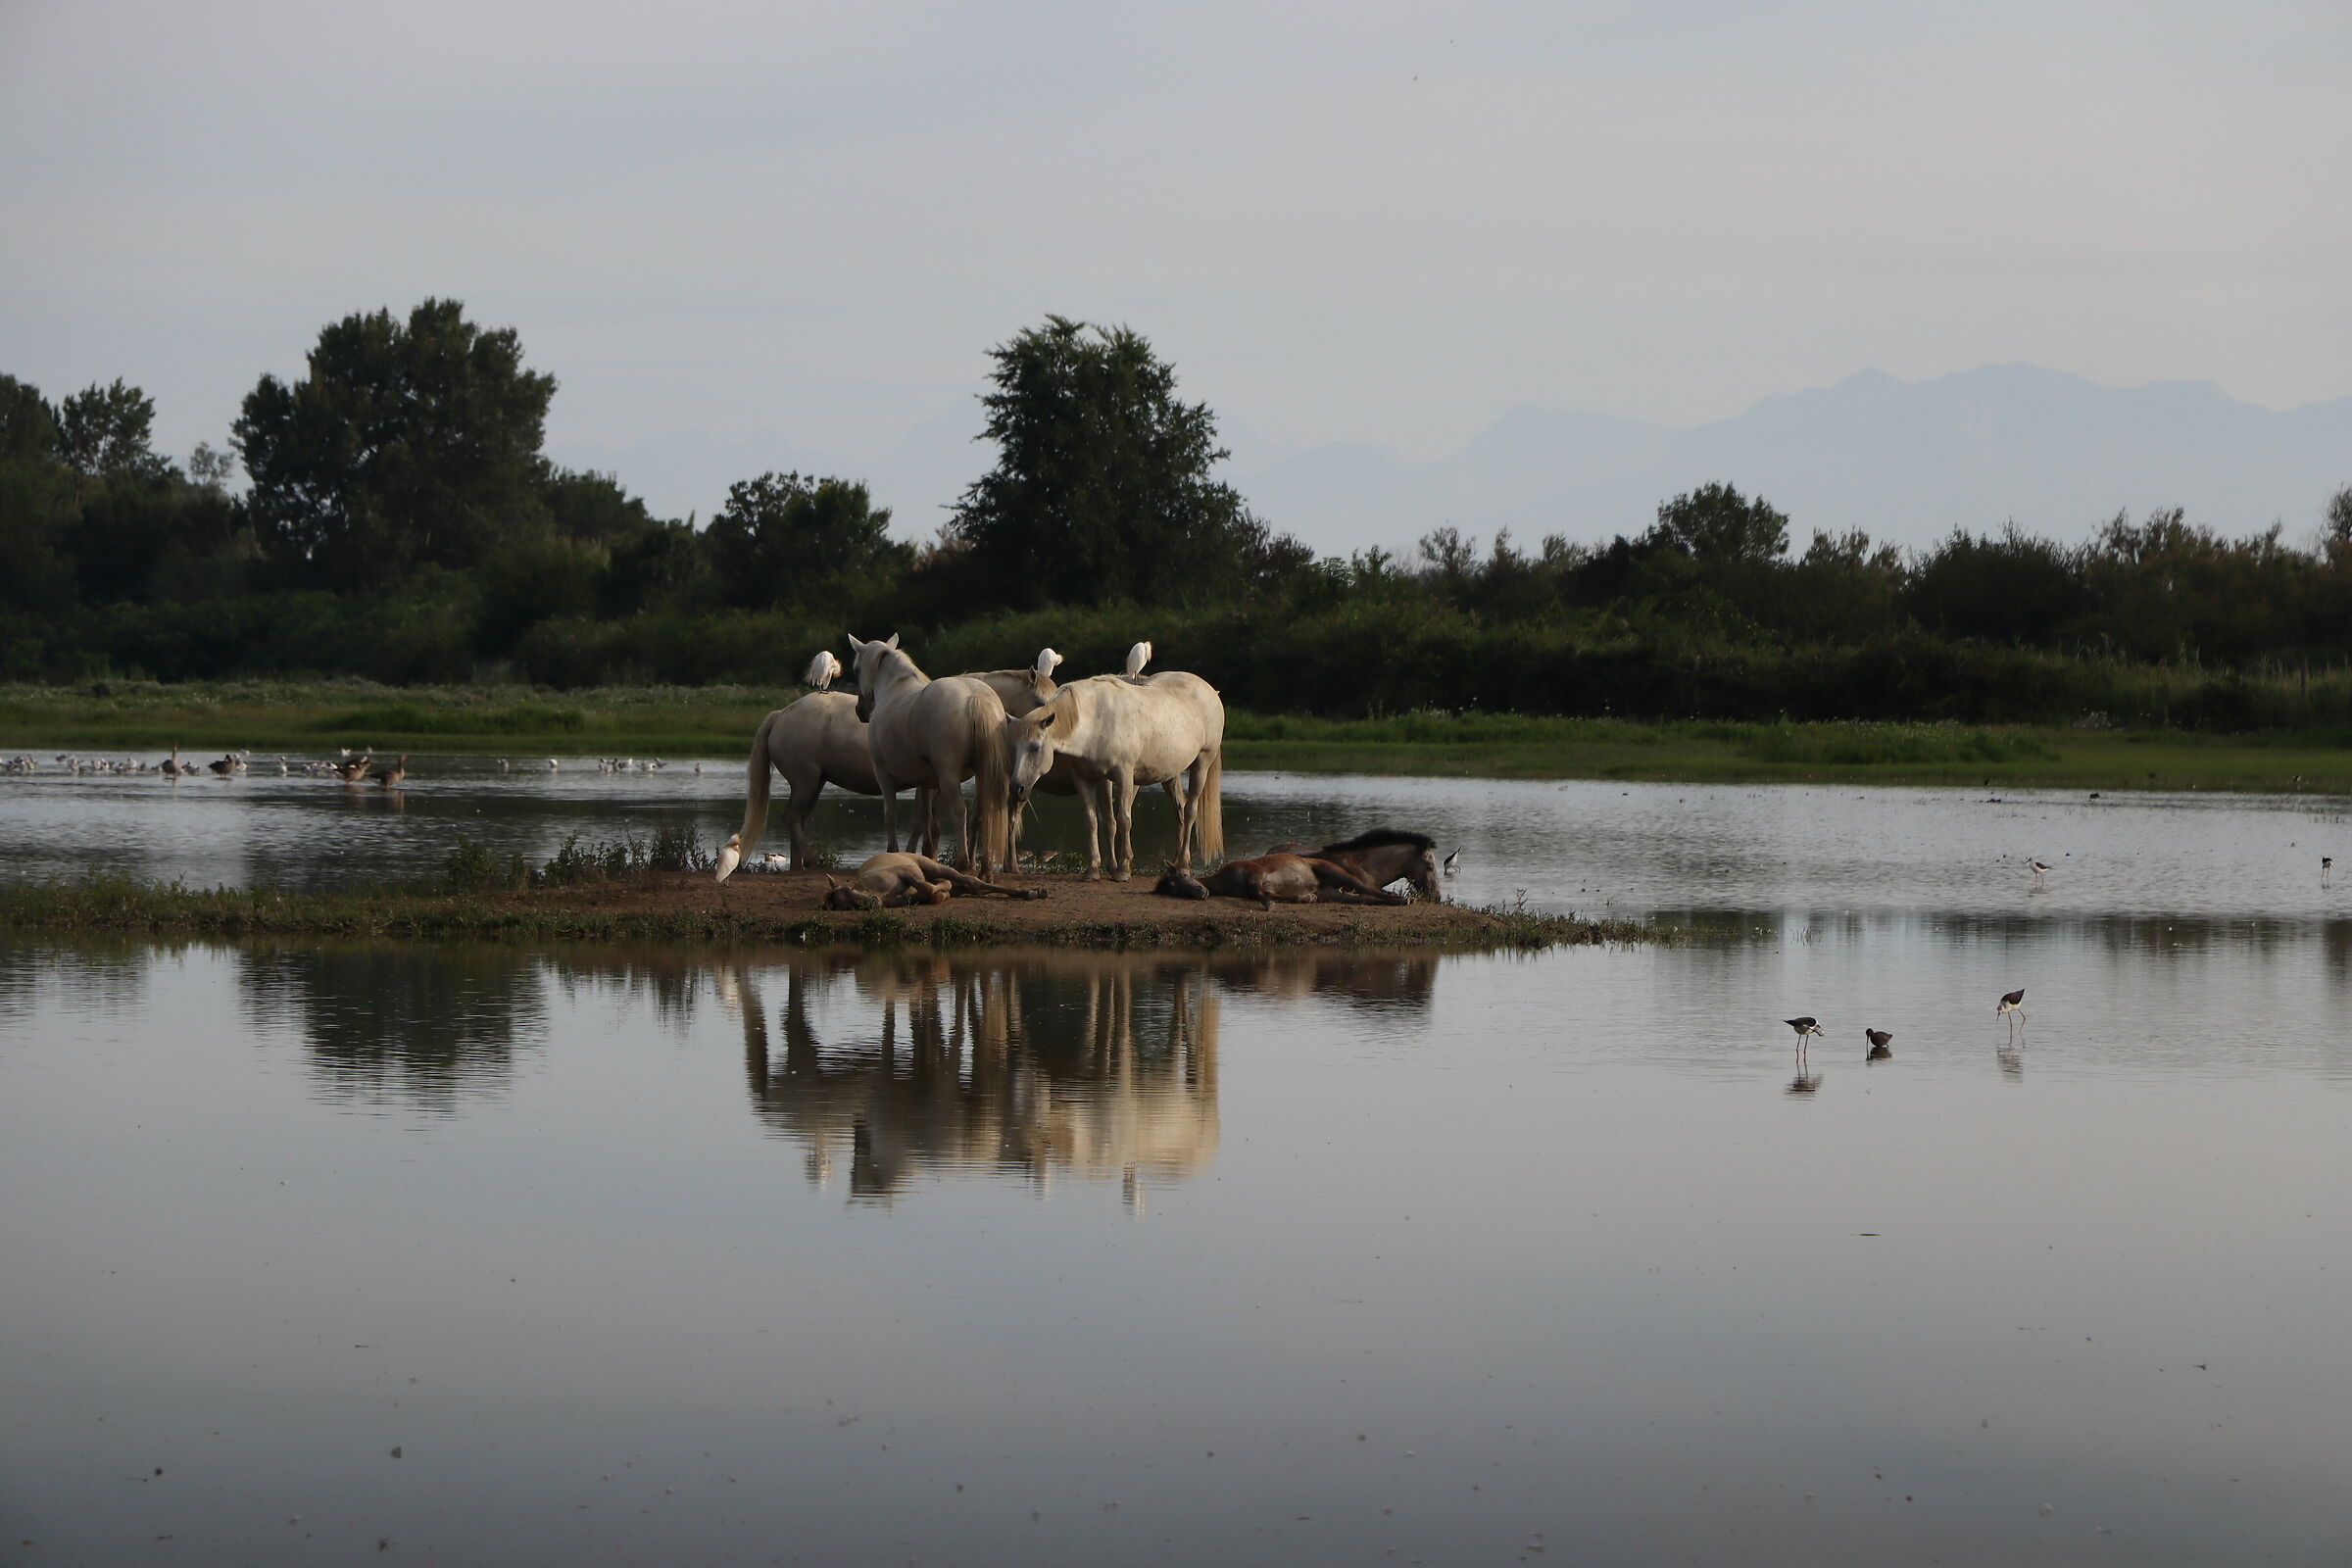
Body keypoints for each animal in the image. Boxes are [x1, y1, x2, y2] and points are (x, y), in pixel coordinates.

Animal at [849, 633, 1018, 880]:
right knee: (981, 813)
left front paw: (893, 853)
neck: (894, 688)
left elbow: (891, 813)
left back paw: (963, 863)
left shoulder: (883, 775)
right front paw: (927, 855)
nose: (860, 711)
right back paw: (984, 870)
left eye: (856, 669)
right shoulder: (928, 781)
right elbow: (927, 818)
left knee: (960, 811)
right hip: (982, 773)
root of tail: (975, 698)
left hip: (950, 775)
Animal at [1002, 671, 1225, 880]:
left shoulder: (1124, 776)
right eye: (1013, 748)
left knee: (1189, 812)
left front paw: (1123, 869)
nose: (1017, 787)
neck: (1095, 721)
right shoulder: (1087, 779)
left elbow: (1123, 819)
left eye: (1035, 747)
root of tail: (1210, 691)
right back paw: (1174, 863)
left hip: (1202, 763)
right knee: (1179, 812)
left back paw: (1183, 865)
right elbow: (1093, 821)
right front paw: (1093, 870)